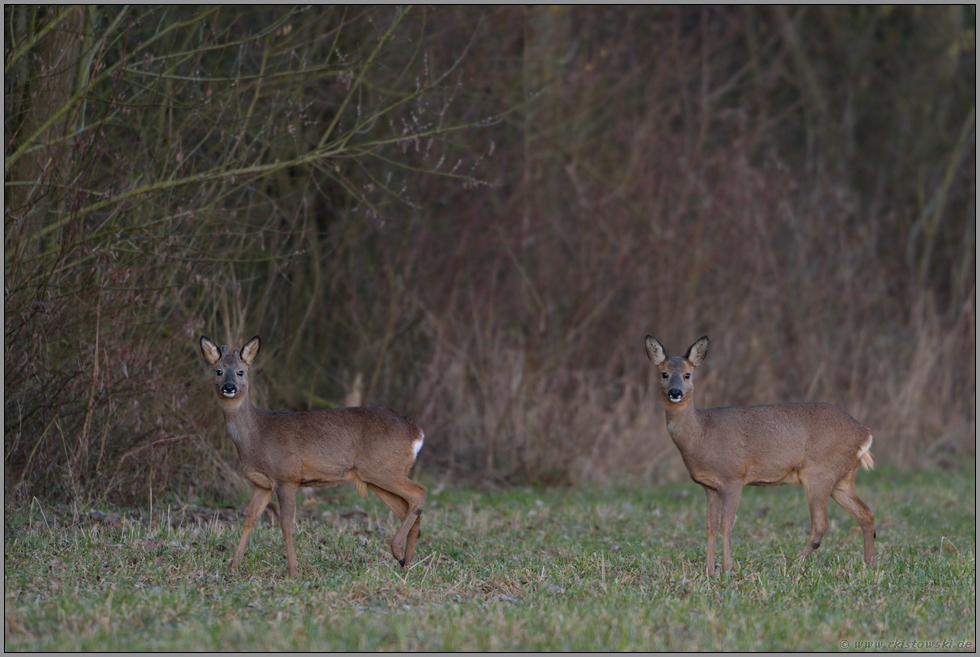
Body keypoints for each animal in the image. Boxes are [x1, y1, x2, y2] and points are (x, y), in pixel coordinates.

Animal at [201, 336, 426, 576]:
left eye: (241, 372)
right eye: (218, 371)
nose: (229, 387)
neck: (256, 435)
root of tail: (417, 433)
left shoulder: (286, 477)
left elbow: (287, 525)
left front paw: (293, 571)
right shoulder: (262, 483)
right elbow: (249, 518)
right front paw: (233, 565)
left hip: (382, 468)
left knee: (419, 492)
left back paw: (398, 552)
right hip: (376, 475)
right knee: (407, 508)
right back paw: (406, 563)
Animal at [648, 336, 876, 572]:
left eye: (687, 374)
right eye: (664, 374)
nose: (675, 392)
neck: (701, 433)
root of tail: (864, 434)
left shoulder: (733, 477)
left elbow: (727, 524)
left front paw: (727, 568)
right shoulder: (709, 486)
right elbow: (711, 526)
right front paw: (709, 570)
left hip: (819, 472)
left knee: (822, 523)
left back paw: (793, 563)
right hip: (841, 478)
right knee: (866, 513)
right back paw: (869, 563)